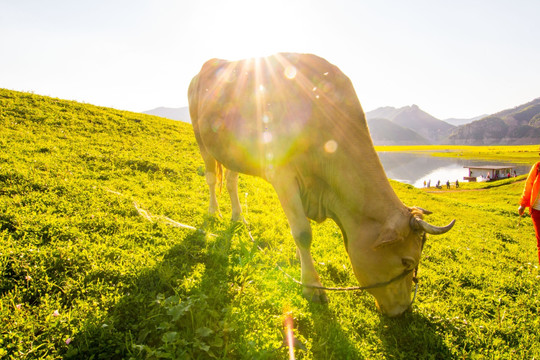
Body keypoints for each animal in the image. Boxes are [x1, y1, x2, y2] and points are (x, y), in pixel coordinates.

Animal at [188, 52, 454, 316]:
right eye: (407, 262)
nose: (403, 310)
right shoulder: (283, 174)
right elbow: (302, 232)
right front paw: (312, 286)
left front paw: (301, 262)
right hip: (202, 139)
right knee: (211, 178)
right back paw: (214, 212)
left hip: (231, 150)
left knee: (231, 181)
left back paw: (238, 217)